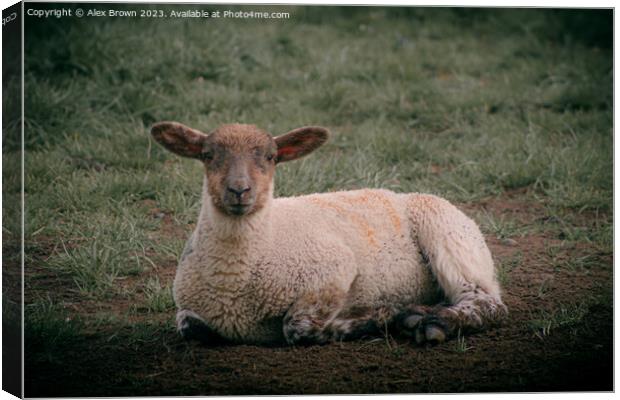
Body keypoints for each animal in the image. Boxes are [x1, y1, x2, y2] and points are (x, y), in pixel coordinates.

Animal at [151, 120, 508, 346]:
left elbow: (297, 328)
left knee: (486, 301)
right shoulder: (189, 307)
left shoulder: (334, 270)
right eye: (207, 155)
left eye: (271, 157)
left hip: (449, 234)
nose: (239, 190)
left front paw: (380, 317)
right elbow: (190, 327)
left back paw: (434, 323)